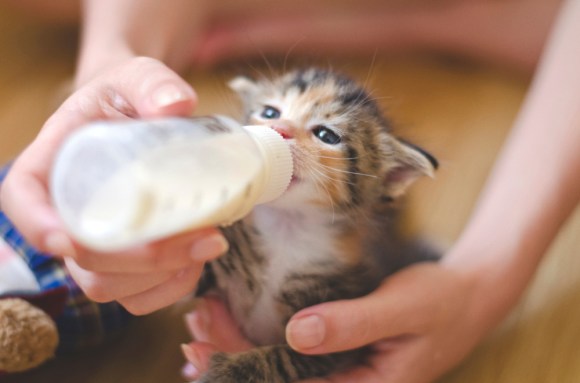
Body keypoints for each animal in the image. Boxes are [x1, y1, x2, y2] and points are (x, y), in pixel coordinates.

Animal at [193, 68, 438, 383]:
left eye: (326, 135)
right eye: (270, 112)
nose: (279, 129)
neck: (287, 226)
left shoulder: (339, 336)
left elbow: (284, 358)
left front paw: (228, 372)